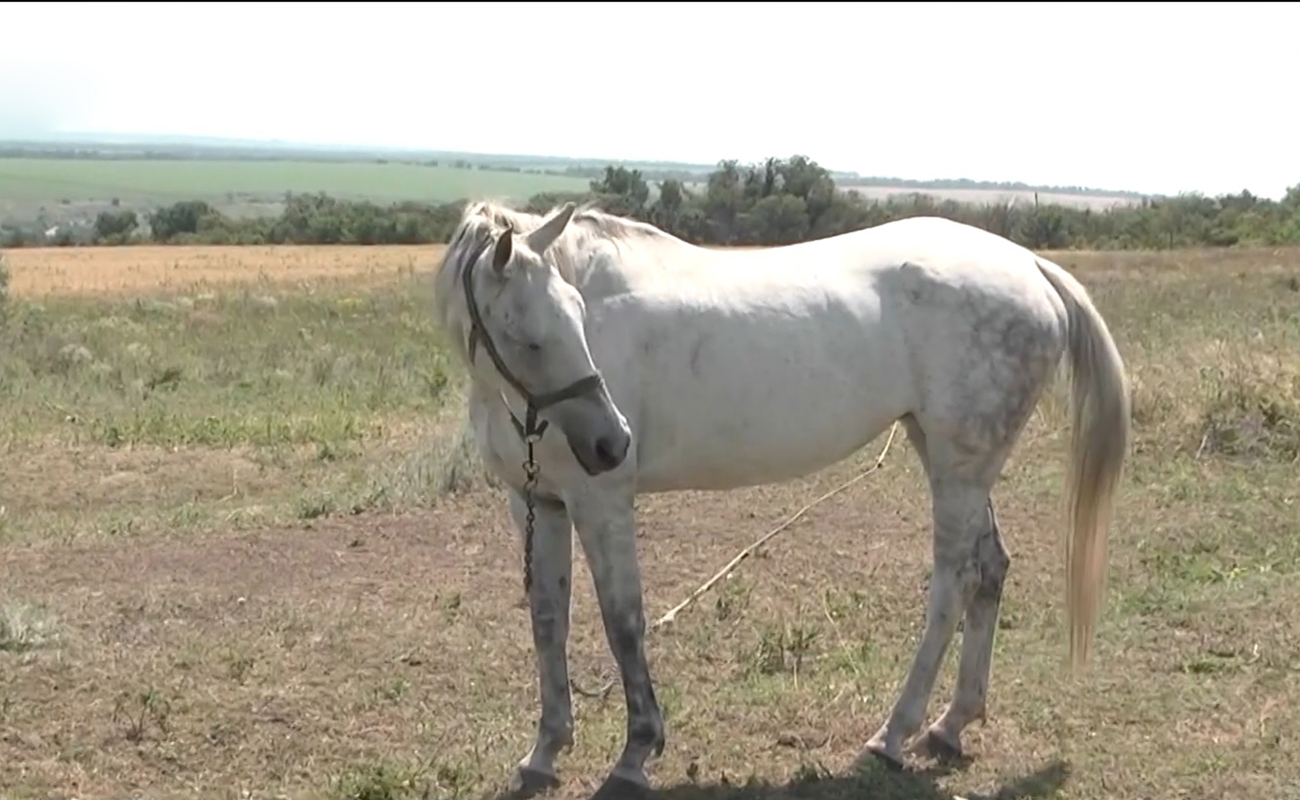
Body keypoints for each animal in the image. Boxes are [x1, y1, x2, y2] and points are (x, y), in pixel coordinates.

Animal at [434, 200, 1128, 800]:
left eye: (576, 317)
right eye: (528, 337)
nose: (611, 441)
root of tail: (1030, 265)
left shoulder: (600, 499)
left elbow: (622, 621)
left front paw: (635, 754)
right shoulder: (539, 503)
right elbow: (548, 621)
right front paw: (544, 752)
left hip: (958, 469)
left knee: (953, 583)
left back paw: (892, 734)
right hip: (950, 457)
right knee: (990, 570)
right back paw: (951, 725)